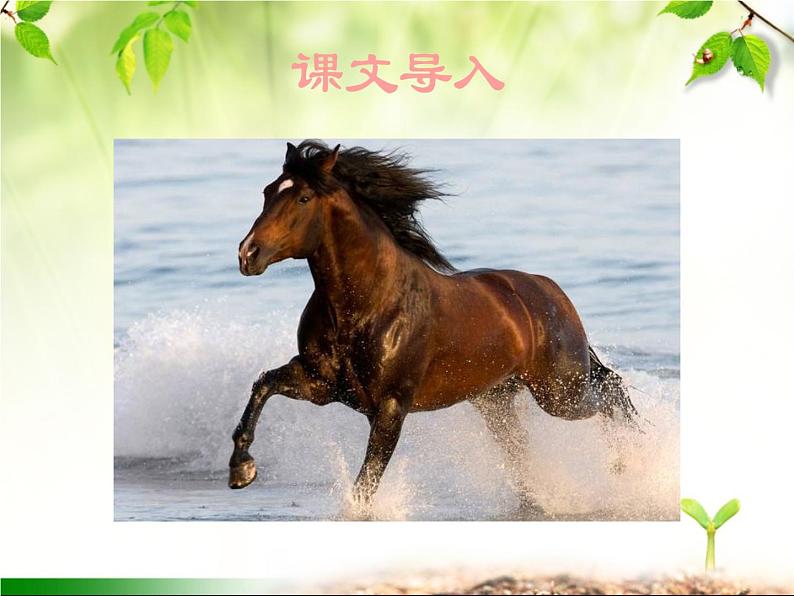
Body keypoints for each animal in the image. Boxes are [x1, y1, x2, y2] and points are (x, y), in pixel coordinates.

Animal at [228, 140, 637, 512]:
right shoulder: (320, 383)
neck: (368, 304)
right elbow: (263, 385)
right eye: (267, 191)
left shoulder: (391, 406)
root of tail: (550, 290)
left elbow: (367, 482)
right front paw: (241, 470)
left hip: (559, 391)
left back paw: (627, 464)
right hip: (497, 400)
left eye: (303, 198)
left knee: (611, 391)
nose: (248, 254)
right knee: (525, 446)